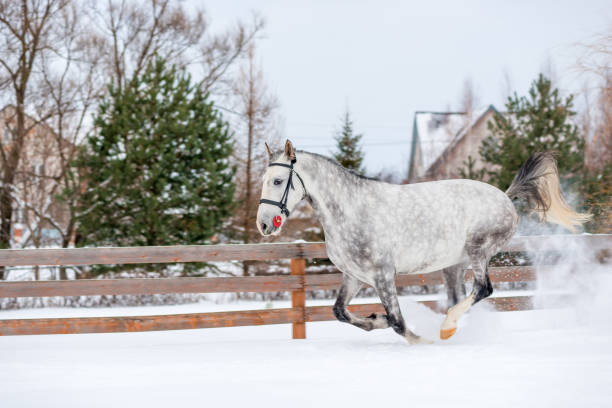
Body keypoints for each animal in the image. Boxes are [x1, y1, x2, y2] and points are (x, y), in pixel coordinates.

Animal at [256, 140, 588, 344]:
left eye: (277, 181)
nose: (263, 224)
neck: (350, 209)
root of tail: (506, 196)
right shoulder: (354, 276)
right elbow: (340, 312)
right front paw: (375, 319)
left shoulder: (382, 274)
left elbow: (398, 323)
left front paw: (421, 340)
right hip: (454, 265)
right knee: (461, 296)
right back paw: (451, 328)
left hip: (479, 251)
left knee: (483, 289)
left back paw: (446, 328)